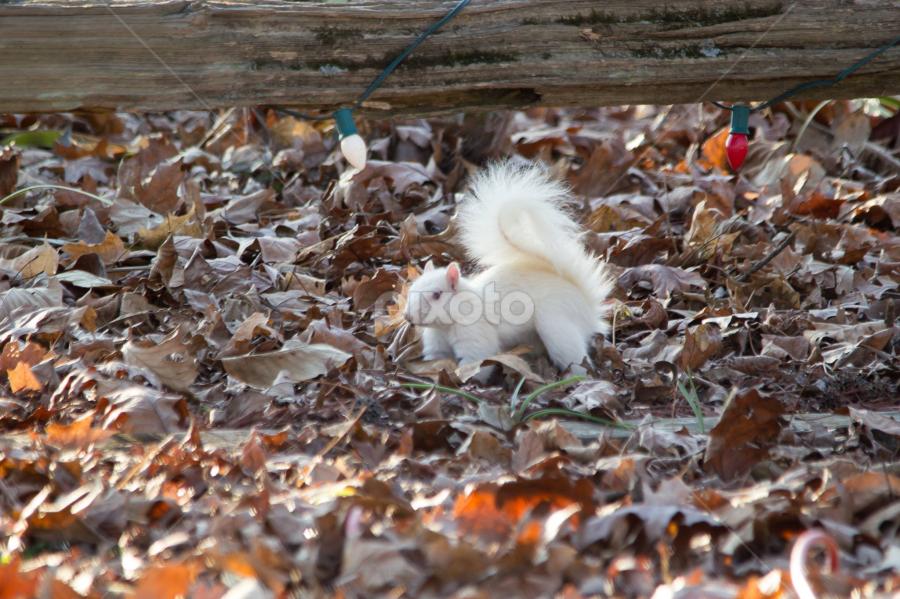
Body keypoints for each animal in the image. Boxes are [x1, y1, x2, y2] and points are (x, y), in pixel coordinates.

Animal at [404, 160, 612, 374]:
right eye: (411, 289)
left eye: (437, 295)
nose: (408, 317)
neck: (446, 325)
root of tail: (588, 307)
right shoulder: (437, 344)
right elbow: (436, 360)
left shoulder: (476, 335)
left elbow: (476, 363)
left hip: (556, 324)